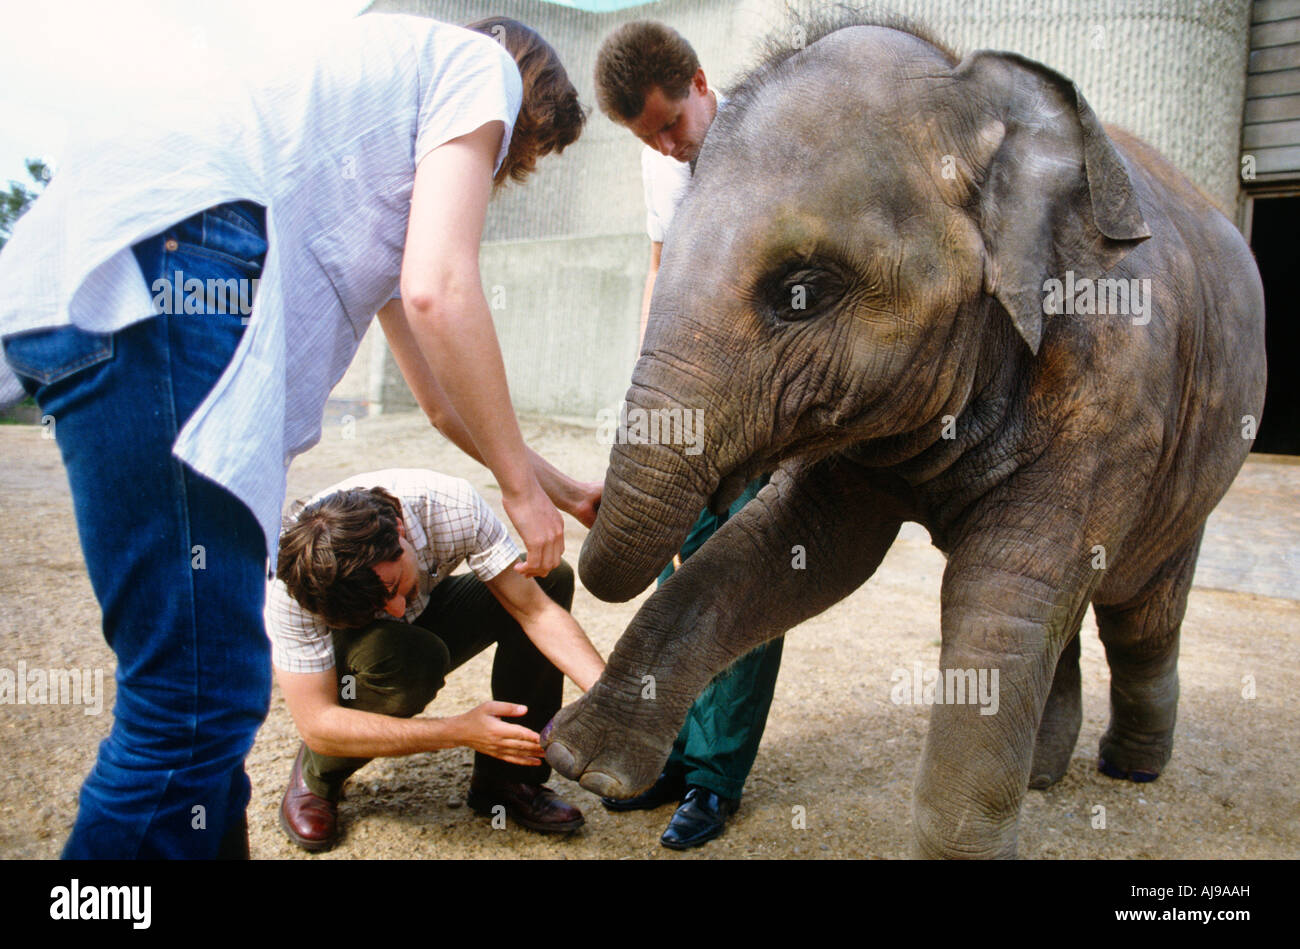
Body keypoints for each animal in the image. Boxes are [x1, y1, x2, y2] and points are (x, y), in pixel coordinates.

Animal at [543, 17, 1267, 858]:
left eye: (802, 291)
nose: (583, 503)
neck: (976, 90)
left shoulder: (1116, 383)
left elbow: (1002, 590)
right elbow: (802, 544)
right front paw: (585, 764)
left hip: (1196, 464)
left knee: (1135, 607)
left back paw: (1133, 767)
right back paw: (1044, 776)